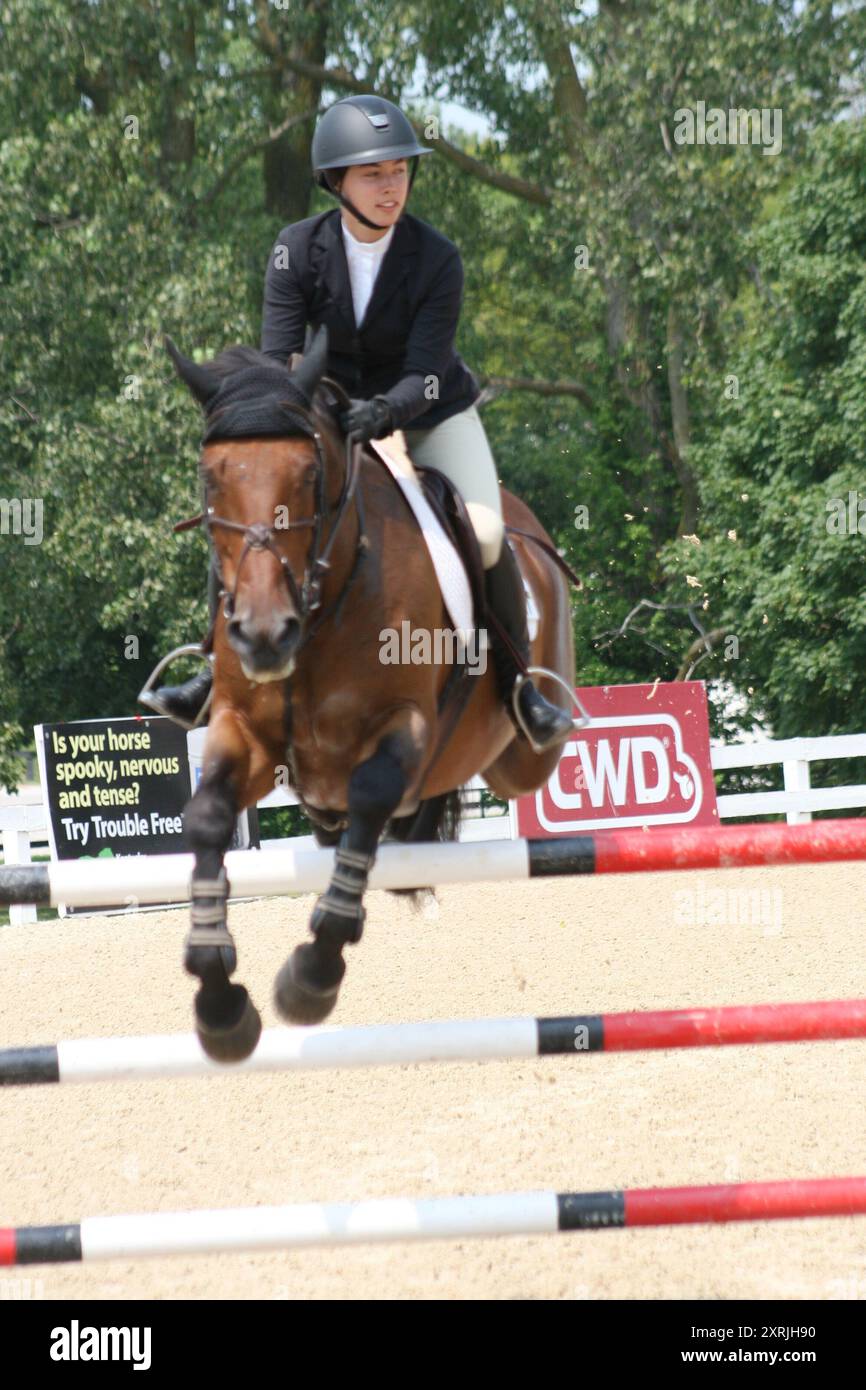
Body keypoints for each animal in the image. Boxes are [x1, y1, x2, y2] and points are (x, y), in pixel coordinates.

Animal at [166, 328, 578, 1061]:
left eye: (310, 474)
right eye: (211, 478)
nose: (265, 635)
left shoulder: (405, 725)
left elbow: (372, 794)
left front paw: (312, 976)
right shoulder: (243, 730)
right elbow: (209, 816)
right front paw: (219, 1003)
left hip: (521, 757)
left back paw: (539, 710)